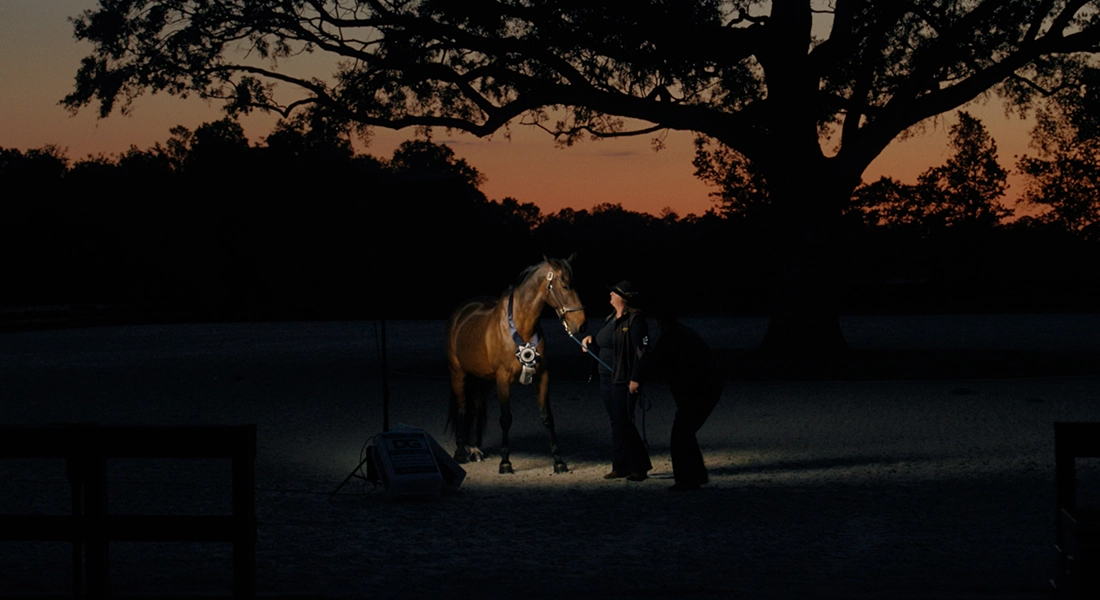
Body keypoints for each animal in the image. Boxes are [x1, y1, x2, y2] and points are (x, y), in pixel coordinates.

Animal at [445, 255, 586, 474]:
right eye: (564, 285)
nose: (580, 324)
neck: (522, 327)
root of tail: (461, 312)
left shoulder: (542, 376)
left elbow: (547, 417)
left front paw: (558, 461)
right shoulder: (503, 379)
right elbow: (506, 419)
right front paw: (505, 463)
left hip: (482, 380)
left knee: (475, 408)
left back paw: (475, 450)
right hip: (458, 373)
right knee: (462, 407)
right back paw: (461, 453)